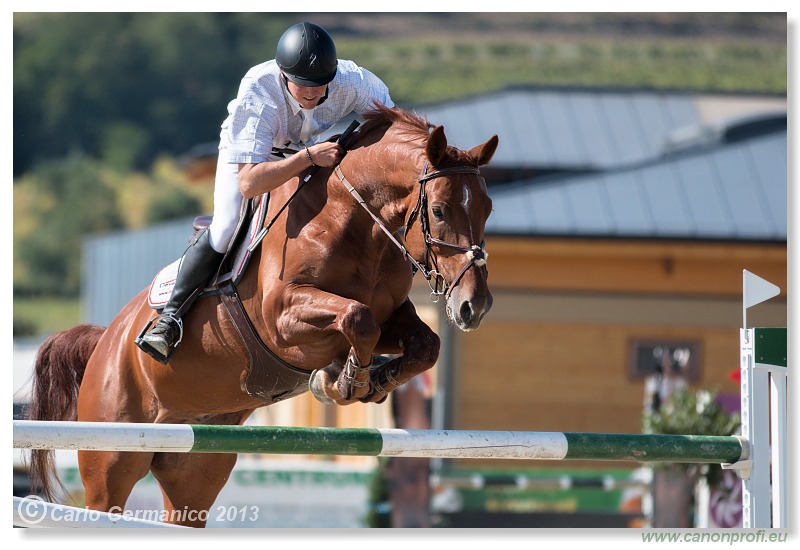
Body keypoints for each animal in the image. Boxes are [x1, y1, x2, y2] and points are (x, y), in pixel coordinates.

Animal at [28, 104, 500, 532]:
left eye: (488, 209)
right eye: (438, 211)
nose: (474, 306)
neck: (351, 222)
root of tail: (106, 340)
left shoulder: (392, 317)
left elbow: (424, 344)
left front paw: (372, 378)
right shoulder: (283, 320)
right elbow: (356, 317)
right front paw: (343, 382)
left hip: (196, 466)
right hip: (112, 456)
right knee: (105, 499)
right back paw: (162, 333)